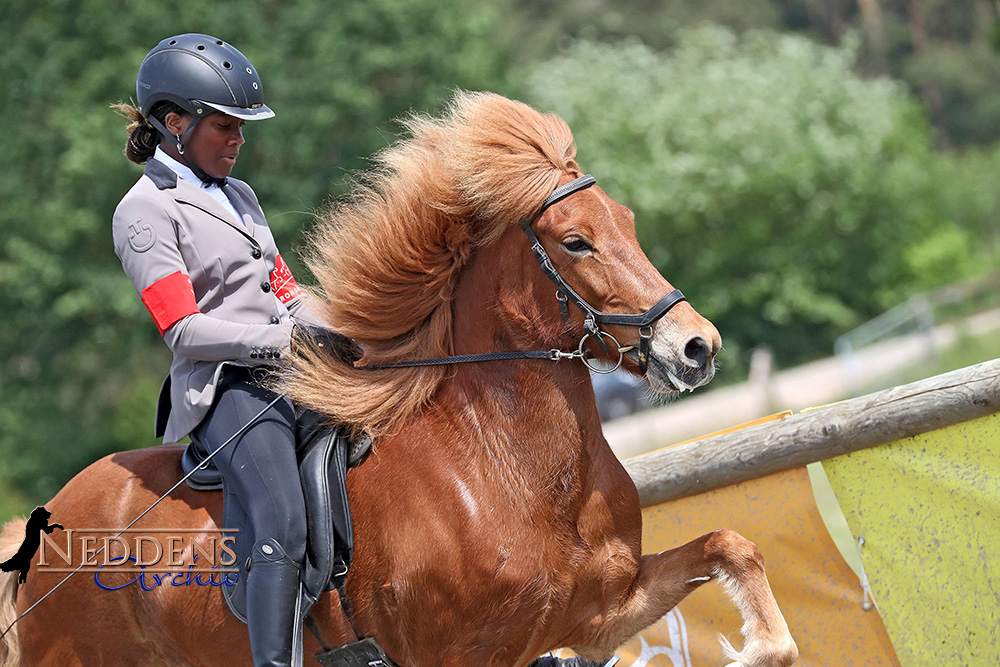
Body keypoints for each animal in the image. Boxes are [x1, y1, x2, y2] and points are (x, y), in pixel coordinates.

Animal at [0, 92, 796, 667]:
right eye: (575, 241)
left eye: (625, 220)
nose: (696, 347)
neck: (505, 466)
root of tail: (46, 524)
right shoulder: (462, 656)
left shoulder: (599, 612)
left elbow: (734, 550)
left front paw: (757, 643)